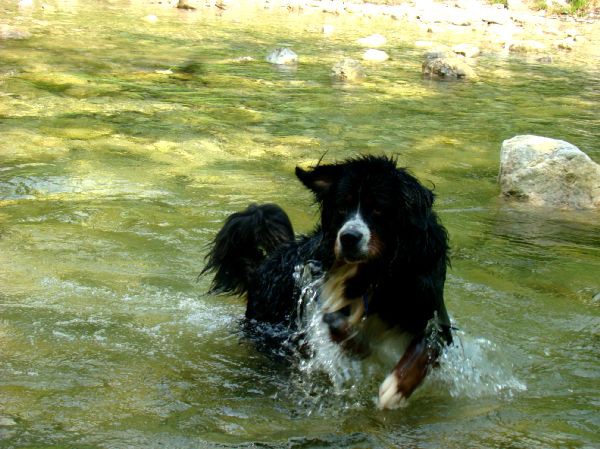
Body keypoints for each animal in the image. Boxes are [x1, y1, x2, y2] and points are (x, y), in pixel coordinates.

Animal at [202, 155, 450, 410]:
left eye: (378, 209)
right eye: (342, 207)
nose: (349, 237)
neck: (375, 272)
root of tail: (263, 265)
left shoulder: (431, 313)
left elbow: (424, 350)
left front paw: (396, 388)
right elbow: (344, 330)